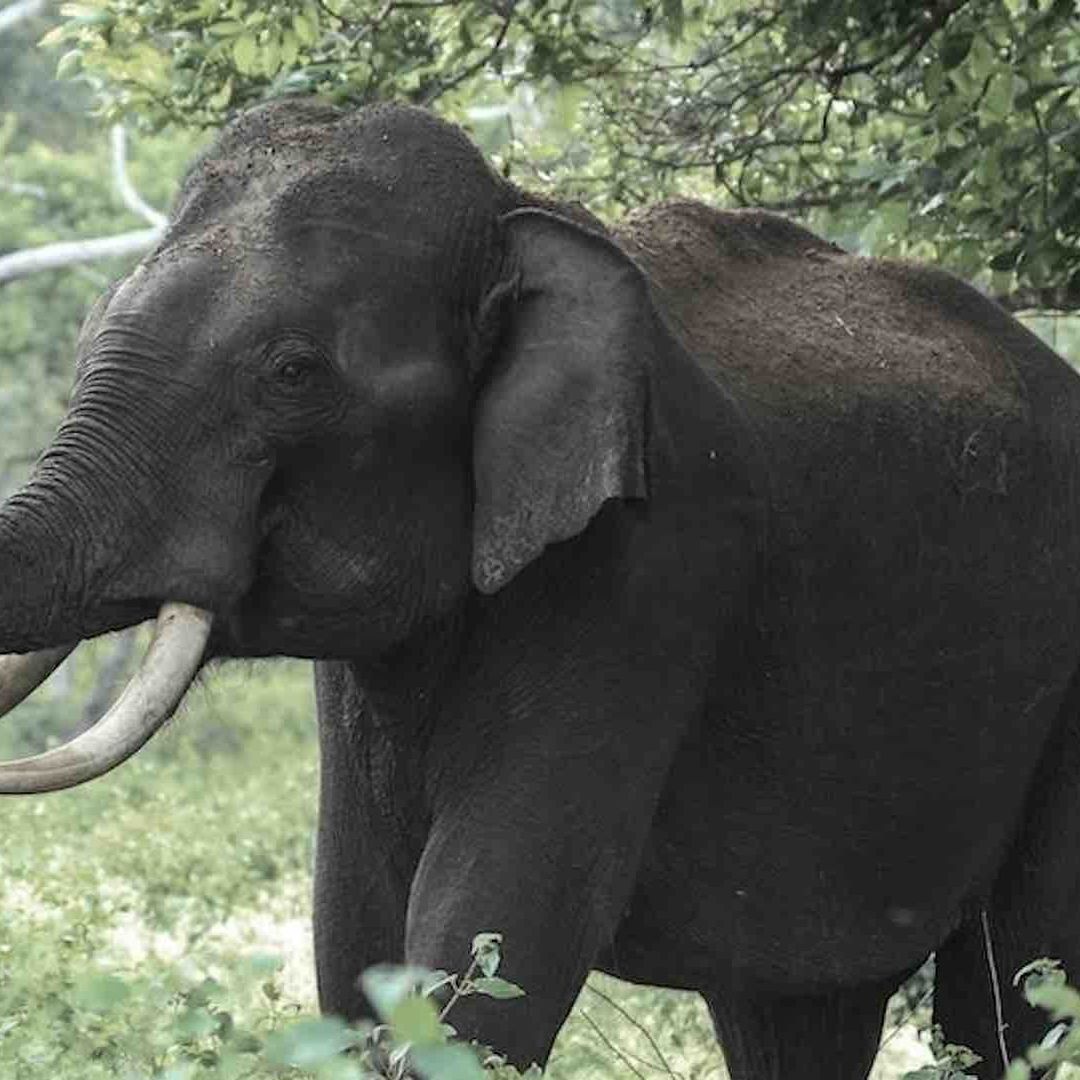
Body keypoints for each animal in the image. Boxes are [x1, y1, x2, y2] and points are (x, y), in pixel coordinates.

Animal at [1, 97, 1080, 1080]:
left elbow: (497, 926)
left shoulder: (648, 567)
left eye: (293, 372)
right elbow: (356, 937)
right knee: (796, 1013)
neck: (518, 219)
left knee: (1013, 987)